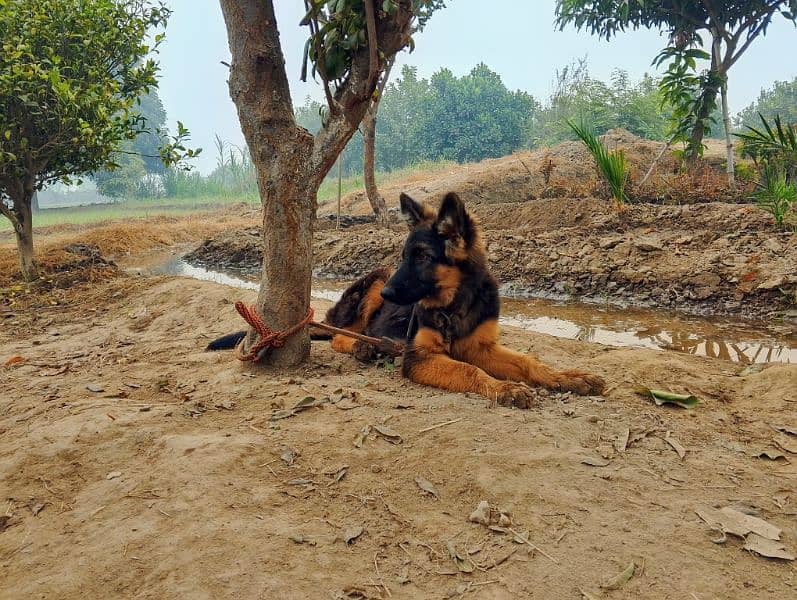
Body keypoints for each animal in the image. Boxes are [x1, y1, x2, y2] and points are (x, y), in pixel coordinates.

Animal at [208, 192, 608, 408]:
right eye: (404, 256)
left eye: (422, 257)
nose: (389, 296)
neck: (454, 303)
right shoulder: (418, 357)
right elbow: (469, 370)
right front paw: (504, 388)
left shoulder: (481, 346)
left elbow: (529, 362)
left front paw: (569, 377)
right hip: (371, 284)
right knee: (342, 335)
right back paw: (363, 347)